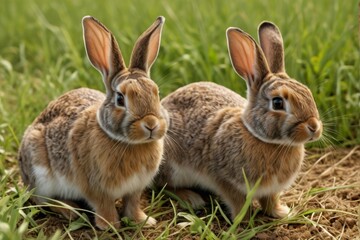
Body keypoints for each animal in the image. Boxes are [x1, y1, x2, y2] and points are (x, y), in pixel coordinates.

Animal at [17, 15, 169, 230]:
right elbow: (103, 205)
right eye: (120, 99)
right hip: (40, 174)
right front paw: (110, 225)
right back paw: (70, 210)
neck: (128, 143)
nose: (151, 124)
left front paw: (143, 221)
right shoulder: (95, 187)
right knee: (42, 199)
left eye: (156, 93)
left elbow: (132, 203)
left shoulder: (135, 188)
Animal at [155, 21, 324, 220]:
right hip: (171, 165)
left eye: (308, 93)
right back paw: (191, 198)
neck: (267, 141)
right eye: (277, 103)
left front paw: (281, 212)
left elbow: (270, 200)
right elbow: (237, 202)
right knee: (163, 185)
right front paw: (243, 219)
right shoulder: (225, 181)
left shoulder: (271, 189)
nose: (314, 127)